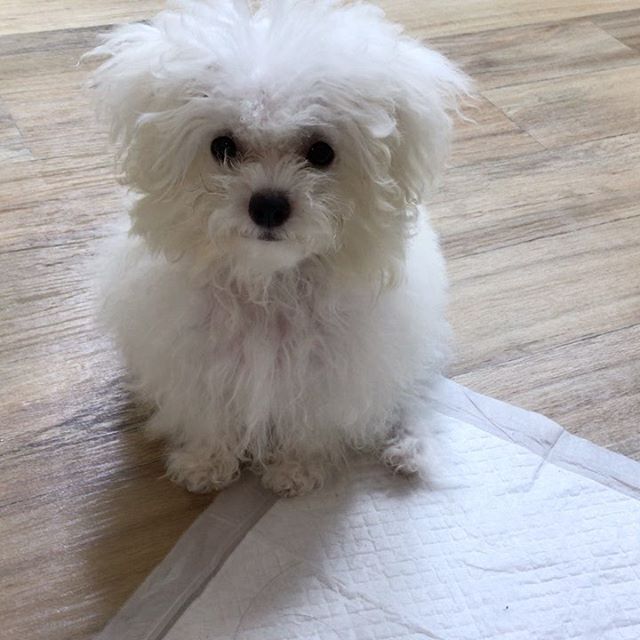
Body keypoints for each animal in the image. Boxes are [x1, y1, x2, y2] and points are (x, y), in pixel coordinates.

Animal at [88, 0, 469, 496]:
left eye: (321, 153)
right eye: (223, 147)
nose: (268, 205)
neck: (268, 283)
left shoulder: (329, 376)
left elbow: (310, 425)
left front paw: (295, 469)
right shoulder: (198, 364)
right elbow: (210, 417)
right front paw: (205, 463)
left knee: (412, 397)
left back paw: (410, 448)